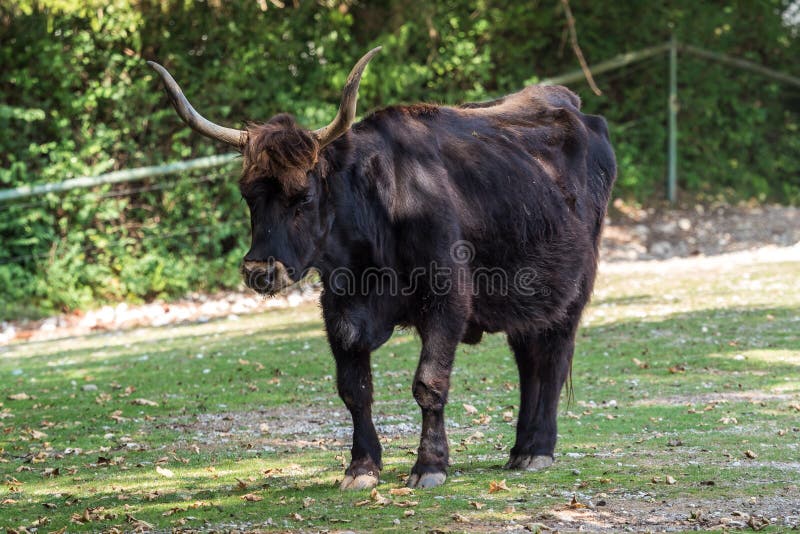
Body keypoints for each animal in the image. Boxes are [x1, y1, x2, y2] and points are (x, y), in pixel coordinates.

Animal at [147, 48, 616, 492]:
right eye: (248, 195)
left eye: (303, 196)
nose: (260, 270)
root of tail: (574, 107)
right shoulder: (340, 311)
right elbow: (354, 390)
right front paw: (362, 467)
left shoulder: (447, 301)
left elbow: (428, 383)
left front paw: (430, 465)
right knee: (529, 361)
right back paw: (521, 449)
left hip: (571, 292)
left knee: (551, 359)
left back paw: (538, 450)